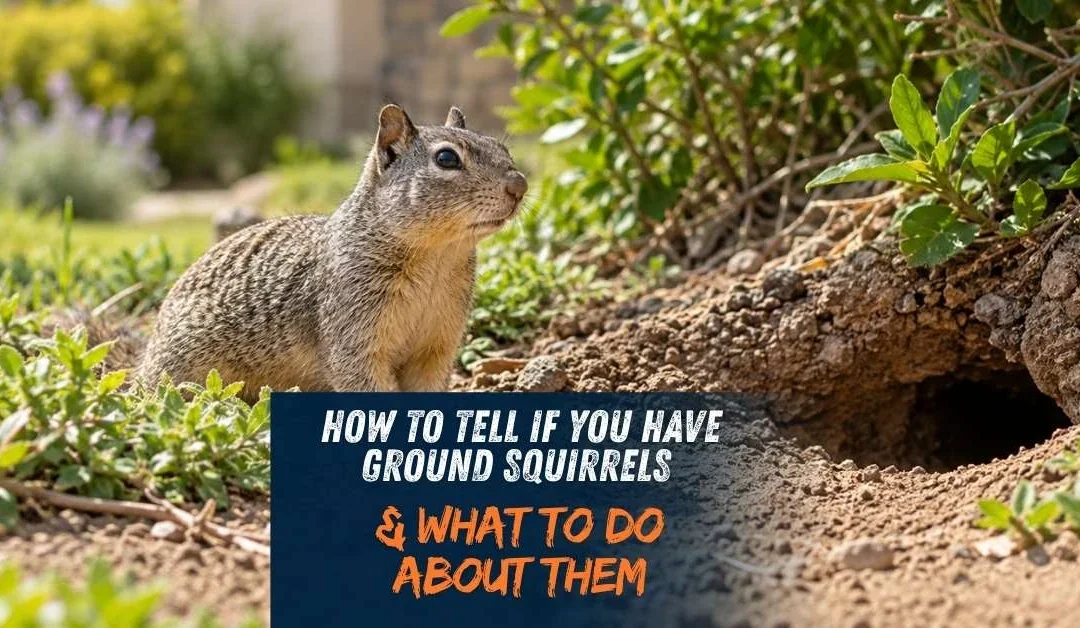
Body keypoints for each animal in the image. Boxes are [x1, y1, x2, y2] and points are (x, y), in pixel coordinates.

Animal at [137, 104, 527, 399]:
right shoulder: (352, 332)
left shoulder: (436, 347)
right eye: (446, 158)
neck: (438, 257)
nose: (519, 185)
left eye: (503, 148)